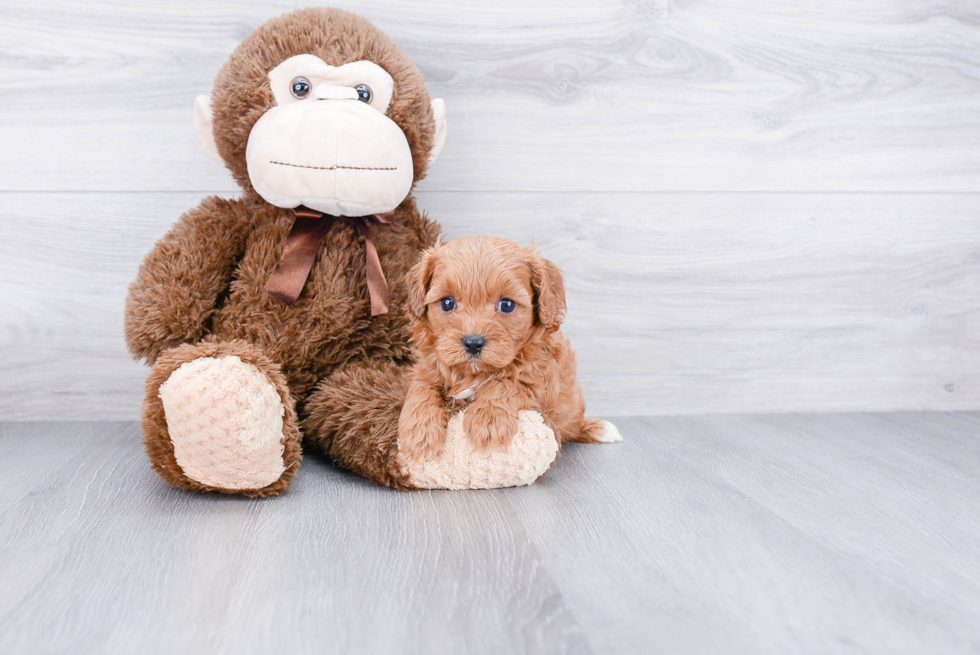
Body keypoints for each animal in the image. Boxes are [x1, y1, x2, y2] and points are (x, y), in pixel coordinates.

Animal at [398, 234, 620, 456]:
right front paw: (418, 431)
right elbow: (422, 388)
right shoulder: (427, 366)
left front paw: (487, 420)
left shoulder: (540, 379)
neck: (474, 374)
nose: (473, 343)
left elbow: (508, 383)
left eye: (507, 305)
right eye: (447, 302)